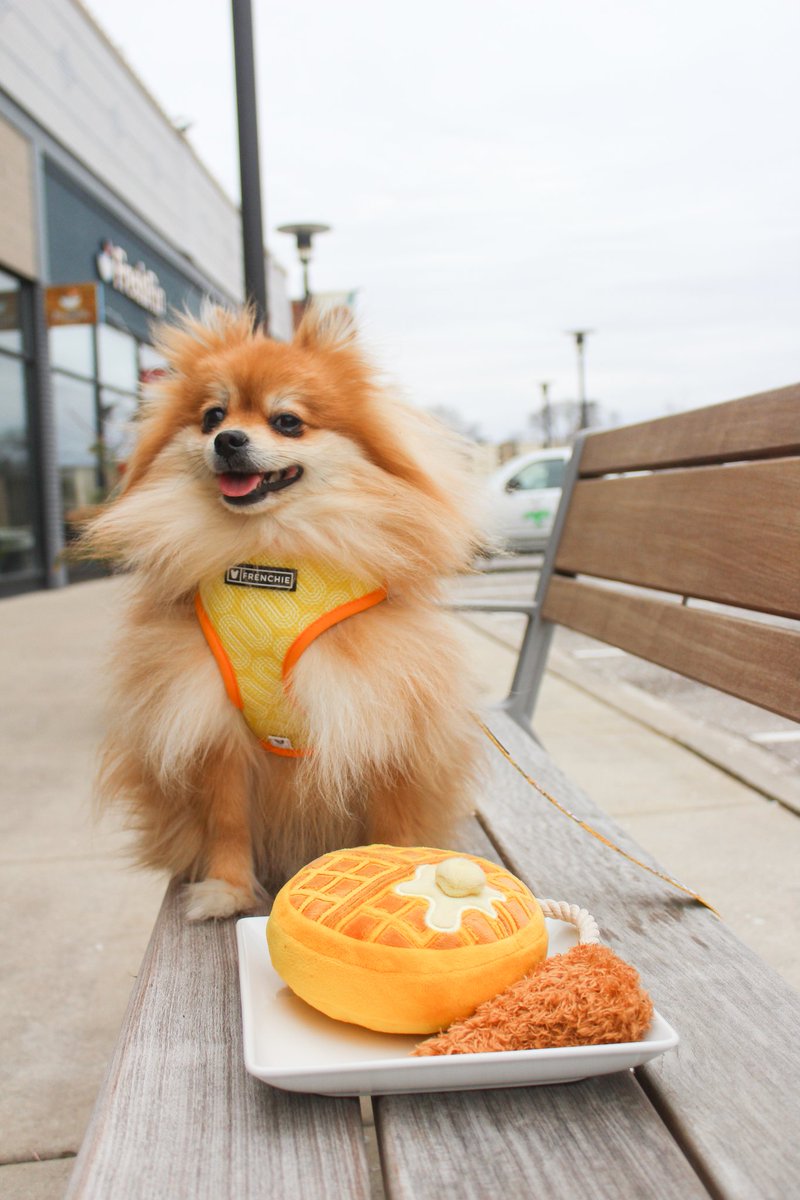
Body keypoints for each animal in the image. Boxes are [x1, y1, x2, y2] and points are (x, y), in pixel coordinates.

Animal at [87, 302, 489, 916]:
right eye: (212, 416)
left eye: (288, 422)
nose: (228, 439)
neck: (269, 558)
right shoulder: (211, 718)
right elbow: (227, 820)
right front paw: (227, 891)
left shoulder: (382, 714)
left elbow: (393, 819)